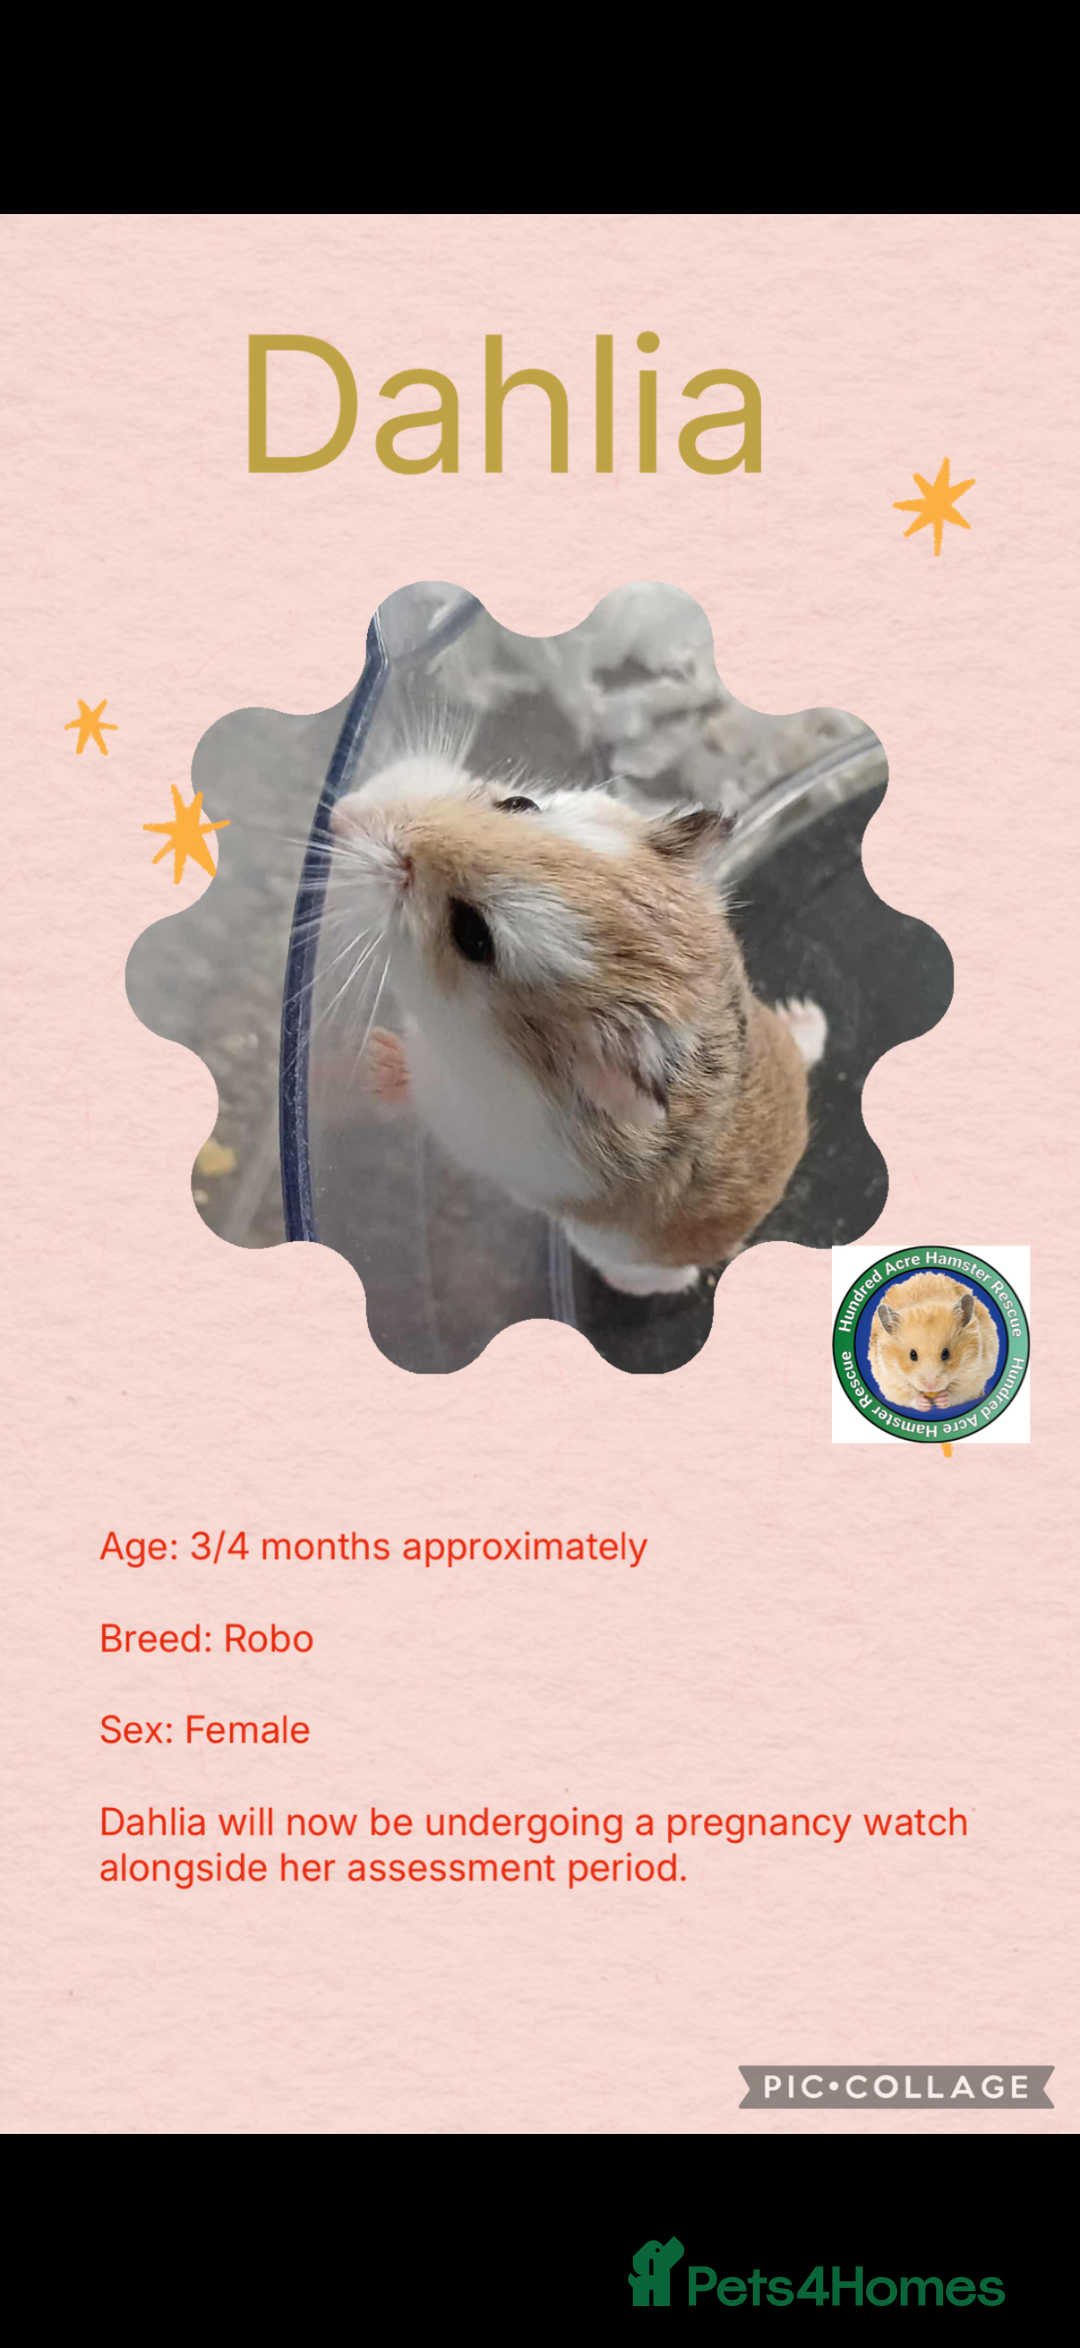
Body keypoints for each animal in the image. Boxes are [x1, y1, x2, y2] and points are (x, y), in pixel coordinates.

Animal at [328, 752, 827, 1295]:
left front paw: (370, 1059)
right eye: (519, 804)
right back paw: (805, 1013)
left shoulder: (473, 1120)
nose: (339, 815)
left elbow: (422, 1090)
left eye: (472, 935)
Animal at [869, 1273, 999, 1412]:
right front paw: (924, 1404)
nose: (931, 1387)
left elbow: (960, 1393)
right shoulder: (889, 1380)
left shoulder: (975, 1373)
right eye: (912, 1355)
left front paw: (942, 1399)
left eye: (946, 1354)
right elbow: (906, 1396)